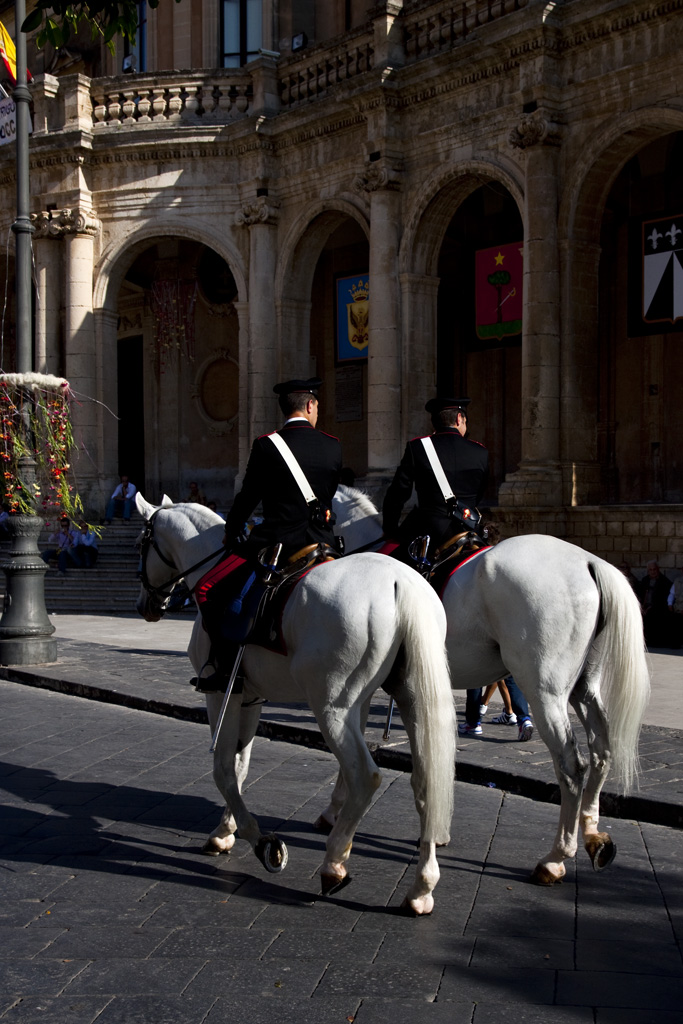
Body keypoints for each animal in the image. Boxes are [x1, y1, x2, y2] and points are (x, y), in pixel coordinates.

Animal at [134, 493, 456, 915]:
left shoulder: (220, 693)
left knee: (365, 776)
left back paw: (334, 864)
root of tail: (402, 583)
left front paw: (261, 843)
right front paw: (225, 831)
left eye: (140, 544)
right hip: (410, 697)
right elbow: (240, 766)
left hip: (331, 706)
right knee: (426, 782)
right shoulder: (249, 696)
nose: (146, 606)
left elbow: (223, 769)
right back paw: (421, 888)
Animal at [326, 486, 651, 885]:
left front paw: (334, 812)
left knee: (572, 766)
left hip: (544, 690)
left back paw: (555, 858)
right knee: (602, 750)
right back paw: (592, 835)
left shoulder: (357, 686)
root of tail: (591, 563)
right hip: (583, 687)